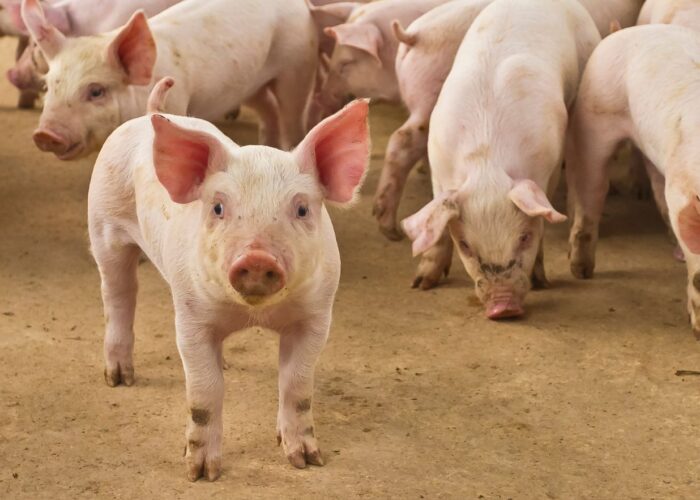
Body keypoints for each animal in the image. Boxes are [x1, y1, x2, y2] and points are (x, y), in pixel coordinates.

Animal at [20, 0, 317, 159]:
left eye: (96, 91)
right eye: (48, 86)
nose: (45, 134)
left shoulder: (175, 103)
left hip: (298, 64)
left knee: (292, 116)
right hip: (249, 85)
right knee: (268, 107)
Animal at [88, 76, 370, 479]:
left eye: (302, 209)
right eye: (219, 207)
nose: (256, 257)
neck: (254, 314)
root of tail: (148, 115)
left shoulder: (317, 315)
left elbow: (297, 386)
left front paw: (306, 460)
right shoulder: (190, 317)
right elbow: (204, 393)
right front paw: (201, 473)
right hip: (103, 223)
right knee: (118, 295)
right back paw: (119, 379)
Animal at [401, 0, 600, 319]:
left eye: (524, 238)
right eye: (465, 245)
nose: (503, 307)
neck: (486, 161)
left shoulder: (549, 166)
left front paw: (541, 282)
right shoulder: (438, 167)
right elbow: (439, 224)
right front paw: (421, 284)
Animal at [566, 24, 700, 333]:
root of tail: (629, 30)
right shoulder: (684, 193)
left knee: (656, 188)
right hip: (594, 113)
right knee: (591, 191)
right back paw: (581, 271)